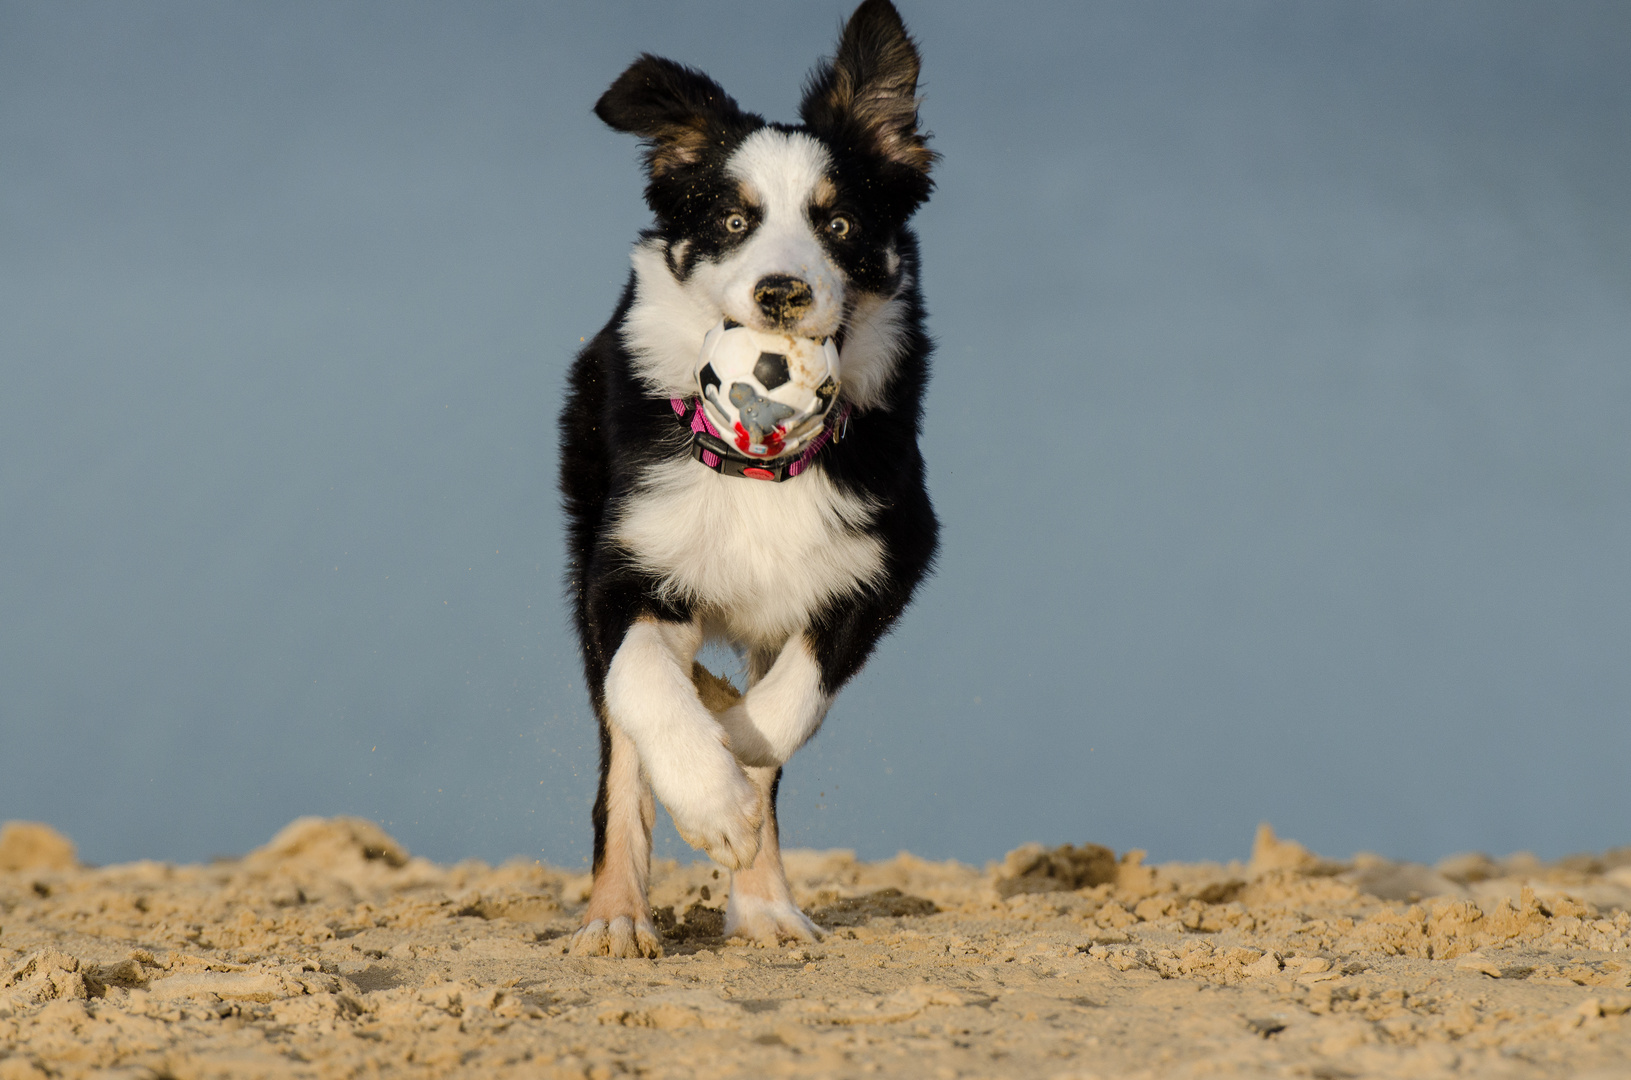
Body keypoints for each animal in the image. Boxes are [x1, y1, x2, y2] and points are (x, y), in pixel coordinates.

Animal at [561, 2, 939, 965]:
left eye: (838, 226)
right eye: (733, 221)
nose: (780, 292)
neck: (759, 465)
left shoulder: (883, 560)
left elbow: (790, 705)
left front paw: (732, 754)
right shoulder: (626, 563)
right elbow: (639, 687)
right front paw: (711, 796)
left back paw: (766, 907)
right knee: (621, 746)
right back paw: (617, 918)